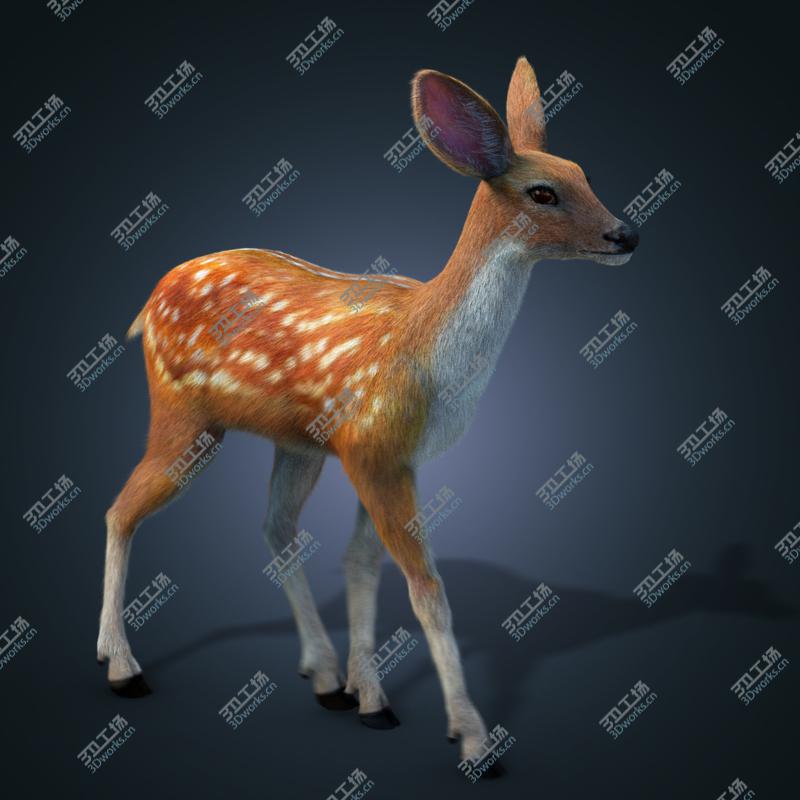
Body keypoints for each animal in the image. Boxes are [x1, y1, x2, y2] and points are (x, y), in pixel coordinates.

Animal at [97, 56, 638, 771]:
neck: (427, 355)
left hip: (294, 442)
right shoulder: (375, 447)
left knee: (274, 527)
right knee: (122, 510)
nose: (627, 234)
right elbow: (426, 589)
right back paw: (122, 667)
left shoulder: (380, 453)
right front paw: (472, 738)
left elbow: (361, 566)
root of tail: (148, 301)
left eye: (586, 173)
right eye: (543, 192)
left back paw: (323, 676)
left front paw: (368, 696)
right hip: (183, 412)